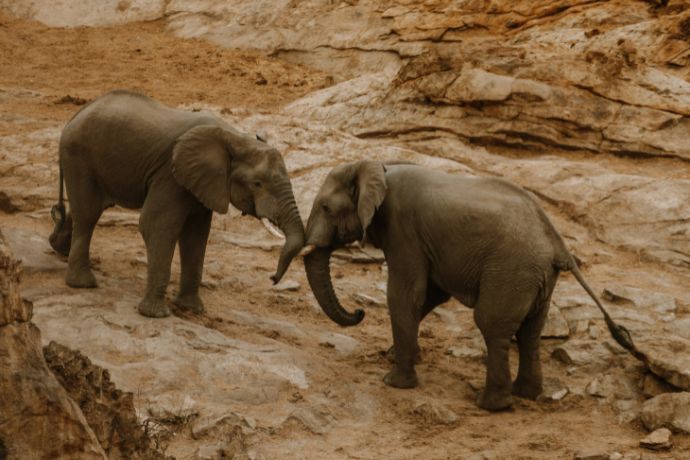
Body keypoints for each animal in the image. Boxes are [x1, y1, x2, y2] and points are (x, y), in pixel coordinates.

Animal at [49, 90, 304, 318]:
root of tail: (74, 117)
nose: (272, 279)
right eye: (258, 184)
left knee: (86, 210)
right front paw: (155, 315)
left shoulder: (202, 183)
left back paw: (58, 248)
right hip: (79, 156)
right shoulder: (170, 175)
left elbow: (196, 235)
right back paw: (83, 284)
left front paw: (192, 310)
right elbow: (157, 226)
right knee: (88, 214)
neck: (236, 137)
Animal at [302, 160, 638, 411]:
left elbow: (406, 294)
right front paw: (397, 355)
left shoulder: (403, 228)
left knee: (491, 324)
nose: (358, 312)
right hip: (537, 278)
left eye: (326, 208)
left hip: (511, 270)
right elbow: (431, 295)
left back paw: (492, 405)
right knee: (530, 331)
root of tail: (558, 244)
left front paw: (394, 382)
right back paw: (526, 394)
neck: (376, 166)